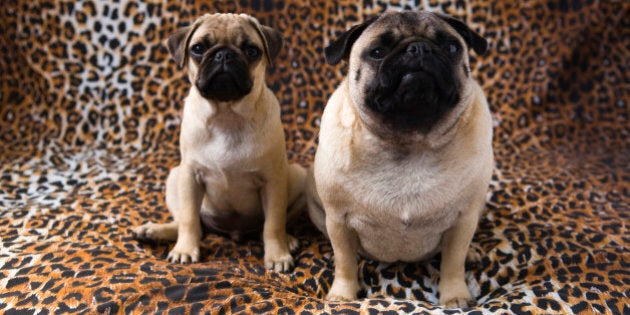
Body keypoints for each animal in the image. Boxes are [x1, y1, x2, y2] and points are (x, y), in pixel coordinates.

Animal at [135, 13, 308, 272]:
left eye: (251, 50)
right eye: (198, 49)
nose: (224, 54)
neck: (227, 116)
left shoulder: (273, 180)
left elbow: (274, 223)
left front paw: (278, 254)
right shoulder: (189, 175)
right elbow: (188, 219)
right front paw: (185, 250)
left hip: (297, 175)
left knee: (269, 225)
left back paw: (288, 239)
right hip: (174, 177)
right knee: (190, 223)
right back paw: (154, 231)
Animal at [308, 11, 496, 308]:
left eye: (451, 47)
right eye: (377, 52)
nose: (418, 48)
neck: (410, 142)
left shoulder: (464, 218)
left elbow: (453, 263)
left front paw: (455, 295)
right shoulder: (338, 220)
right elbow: (345, 262)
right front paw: (342, 295)